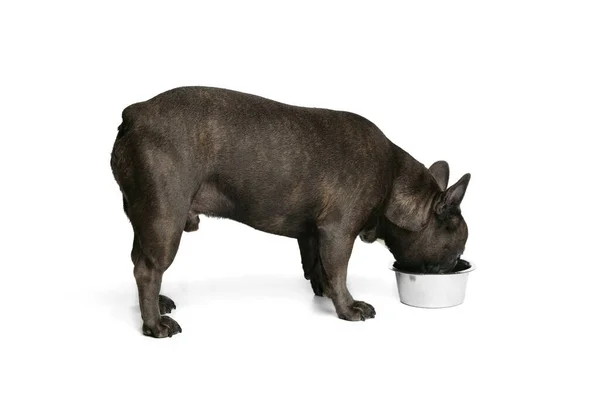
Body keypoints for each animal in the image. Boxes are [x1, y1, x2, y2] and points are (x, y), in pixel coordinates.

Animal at [110, 86, 472, 338]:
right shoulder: (339, 232)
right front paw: (348, 307)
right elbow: (339, 271)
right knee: (148, 270)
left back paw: (157, 304)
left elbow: (318, 265)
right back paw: (155, 325)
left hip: (145, 216)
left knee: (139, 260)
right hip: (165, 220)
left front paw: (324, 292)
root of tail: (136, 114)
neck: (394, 181)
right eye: (457, 250)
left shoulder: (313, 233)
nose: (457, 265)